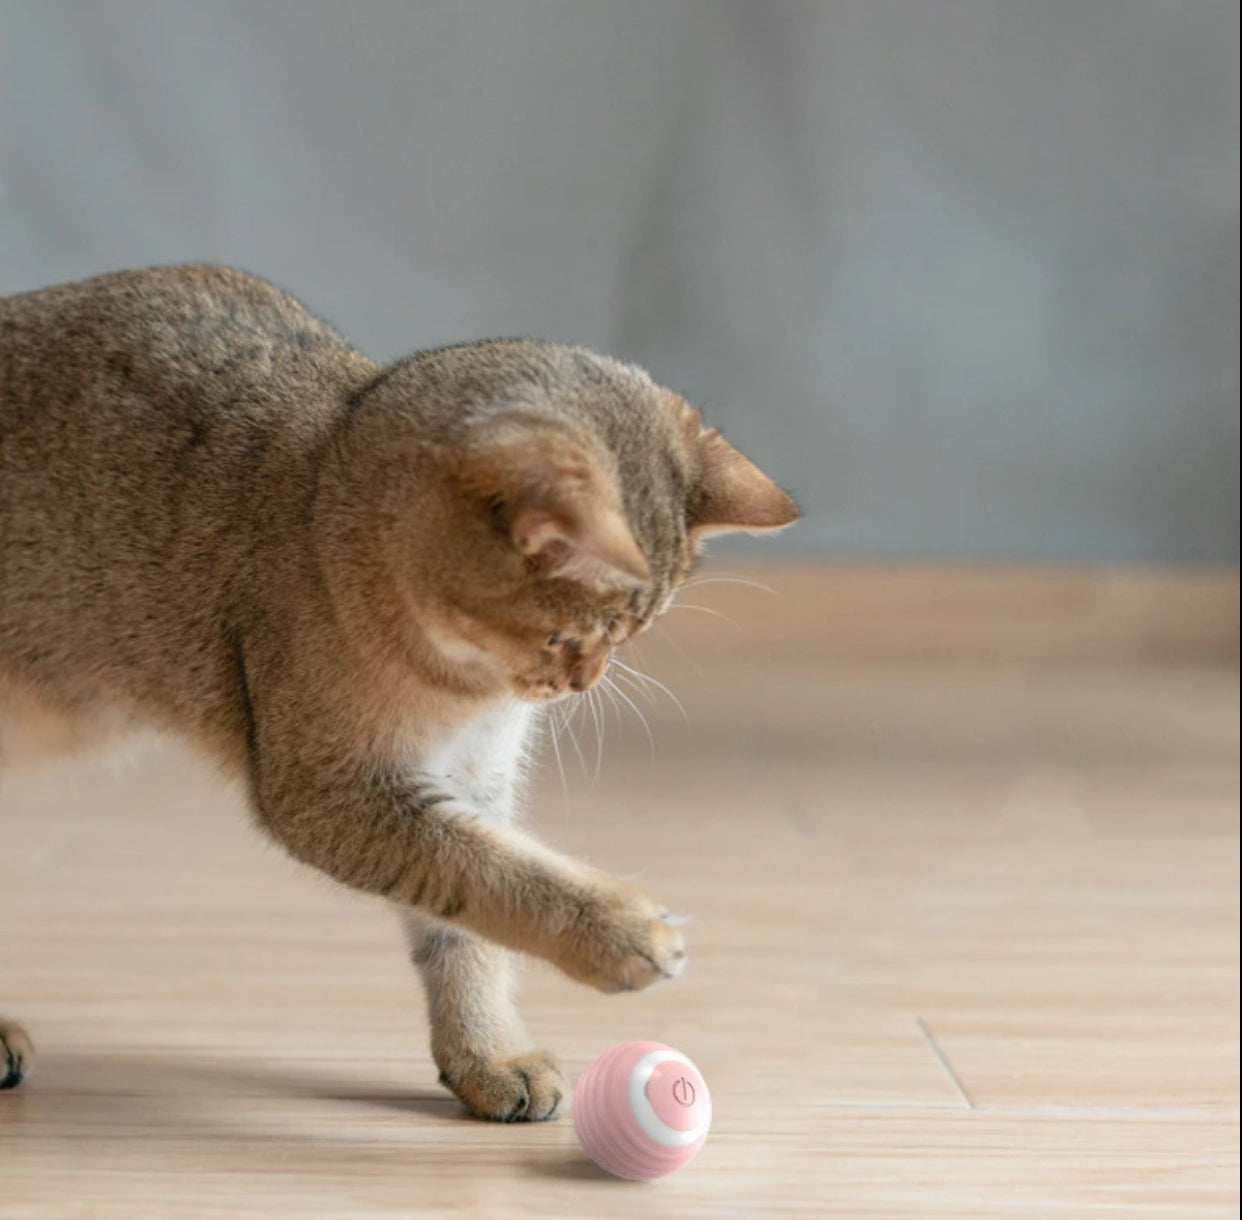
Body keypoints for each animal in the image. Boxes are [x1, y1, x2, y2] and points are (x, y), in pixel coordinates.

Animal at [0, 269, 794, 1128]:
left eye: (634, 634)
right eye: (564, 636)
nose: (583, 683)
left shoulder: (472, 778)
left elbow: (468, 928)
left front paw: (489, 1055)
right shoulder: (331, 790)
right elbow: (491, 875)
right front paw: (618, 932)